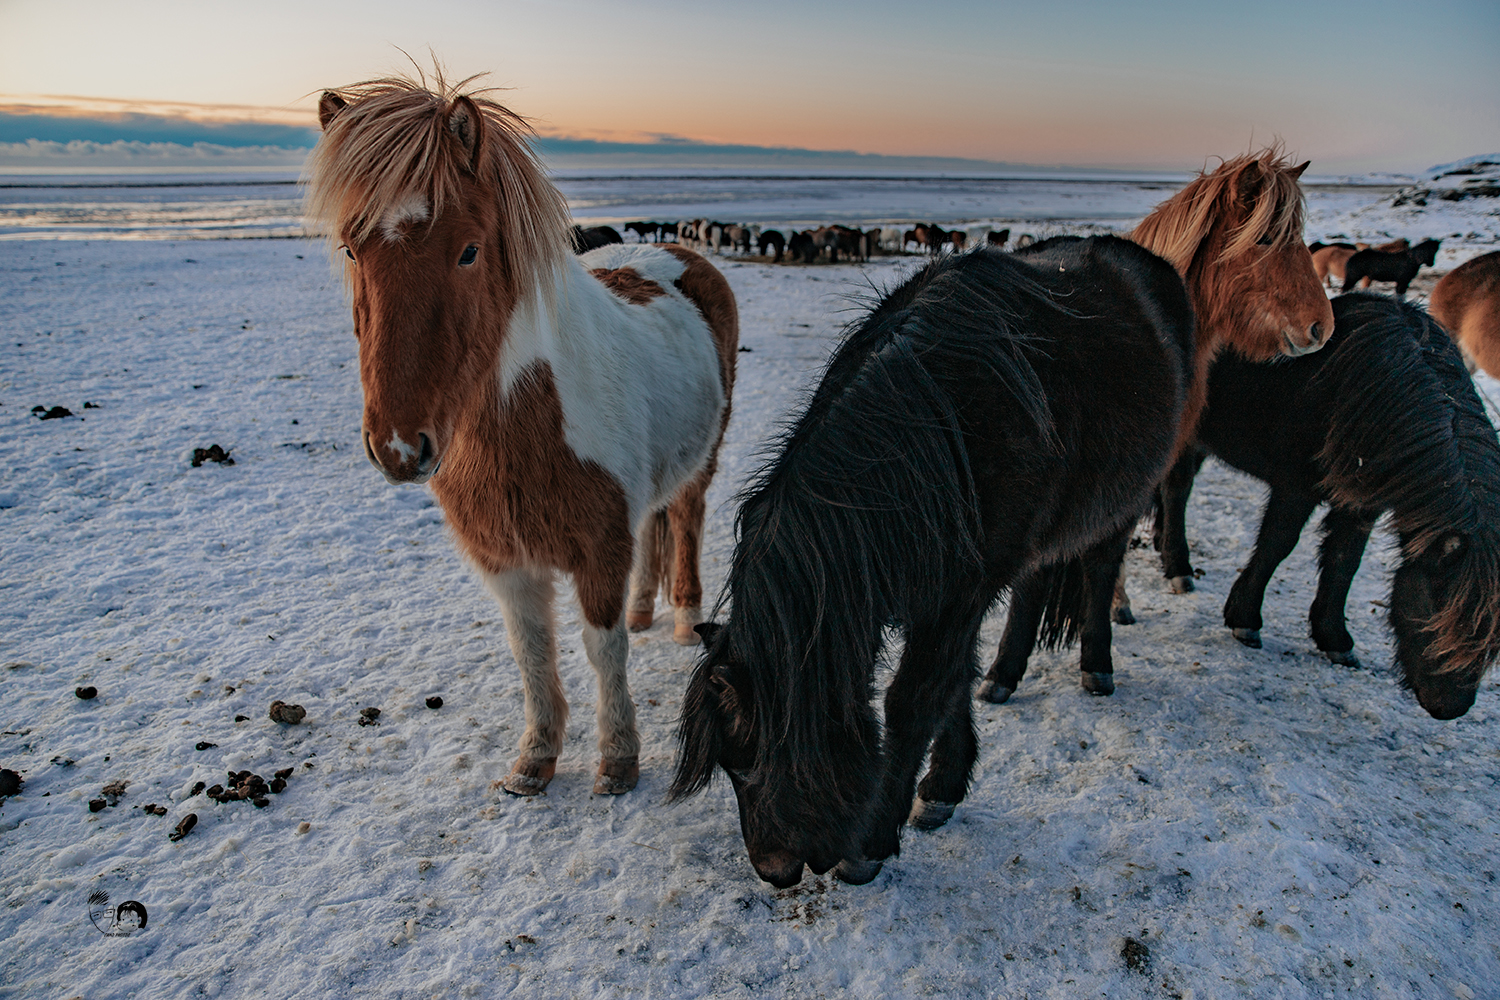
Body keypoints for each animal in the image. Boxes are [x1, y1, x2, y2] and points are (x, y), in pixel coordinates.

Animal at [307, 76, 741, 797]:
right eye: (350, 249)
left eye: (468, 249)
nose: (399, 447)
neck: (531, 420)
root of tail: (678, 252)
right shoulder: (504, 560)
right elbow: (531, 651)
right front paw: (535, 759)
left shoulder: (599, 550)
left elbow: (603, 647)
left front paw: (617, 760)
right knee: (654, 526)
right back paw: (646, 609)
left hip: (701, 465)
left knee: (684, 521)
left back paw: (681, 617)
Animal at [669, 236, 1194, 893]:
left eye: (752, 756)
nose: (774, 870)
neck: (945, 430)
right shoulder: (949, 592)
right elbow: (954, 681)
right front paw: (943, 786)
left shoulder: (962, 591)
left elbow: (915, 699)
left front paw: (871, 843)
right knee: (1034, 587)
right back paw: (1005, 675)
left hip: (1122, 501)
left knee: (1100, 572)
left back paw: (1096, 666)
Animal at [1146, 295, 1500, 719]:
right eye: (1439, 612)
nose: (1450, 706)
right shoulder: (1296, 487)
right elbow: (1276, 546)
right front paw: (1245, 619)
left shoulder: (1360, 504)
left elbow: (1344, 562)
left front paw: (1335, 639)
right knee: (1177, 491)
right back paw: (1179, 568)